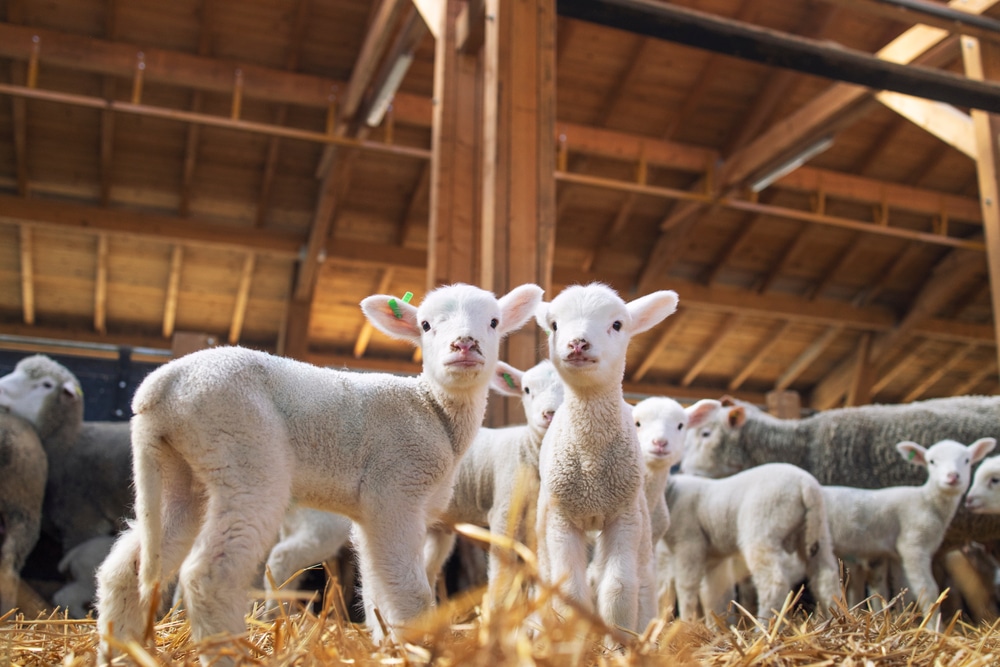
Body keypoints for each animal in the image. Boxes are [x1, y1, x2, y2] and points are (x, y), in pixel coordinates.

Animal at [94, 282, 543, 663]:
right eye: (426, 325)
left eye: (493, 322)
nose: (464, 345)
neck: (433, 409)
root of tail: (160, 387)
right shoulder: (396, 489)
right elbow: (409, 589)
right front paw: (418, 646)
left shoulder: (373, 512)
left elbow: (378, 584)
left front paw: (384, 642)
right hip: (244, 452)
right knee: (210, 573)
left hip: (181, 472)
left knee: (126, 567)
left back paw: (120, 651)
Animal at [424, 358, 564, 603]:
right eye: (527, 390)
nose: (550, 414)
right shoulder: (504, 510)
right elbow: (501, 572)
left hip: (437, 525)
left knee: (427, 569)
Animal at [534, 282, 678, 635]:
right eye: (554, 325)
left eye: (617, 324)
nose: (578, 343)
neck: (591, 462)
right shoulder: (561, 519)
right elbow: (570, 590)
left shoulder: (622, 516)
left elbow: (619, 588)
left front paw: (619, 641)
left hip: (641, 519)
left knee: (643, 580)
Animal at [659, 463, 841, 623]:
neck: (672, 494)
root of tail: (806, 485)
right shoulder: (713, 558)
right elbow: (713, 594)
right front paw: (716, 627)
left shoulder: (689, 543)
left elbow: (686, 587)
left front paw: (686, 622)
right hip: (816, 531)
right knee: (826, 577)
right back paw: (835, 617)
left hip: (762, 529)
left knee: (773, 583)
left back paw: (764, 627)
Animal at [821, 437, 995, 618]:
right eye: (932, 461)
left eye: (967, 460)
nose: (953, 476)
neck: (928, 500)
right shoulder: (913, 545)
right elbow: (928, 590)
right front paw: (933, 624)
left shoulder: (898, 556)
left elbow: (902, 588)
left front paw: (901, 616)